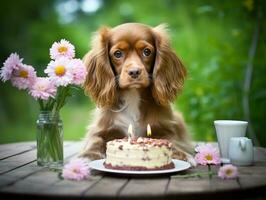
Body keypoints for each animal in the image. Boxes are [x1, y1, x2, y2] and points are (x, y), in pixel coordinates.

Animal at [81, 22, 195, 166]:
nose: (134, 72)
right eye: (117, 54)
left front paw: (184, 155)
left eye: (147, 52)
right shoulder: (100, 130)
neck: (133, 95)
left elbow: (173, 142)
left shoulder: (165, 129)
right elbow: (95, 141)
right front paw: (85, 156)